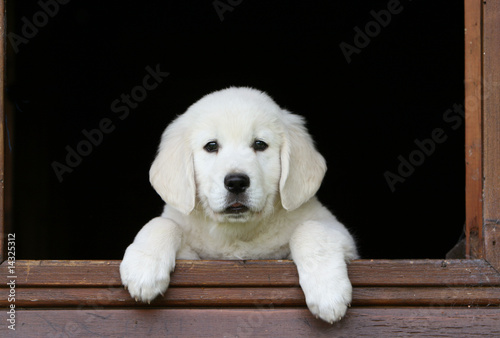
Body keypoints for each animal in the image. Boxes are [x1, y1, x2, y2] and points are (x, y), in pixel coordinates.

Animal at [119, 86, 358, 322]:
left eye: (260, 144)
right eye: (211, 146)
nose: (236, 182)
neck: (237, 232)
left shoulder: (342, 237)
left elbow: (310, 228)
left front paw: (327, 291)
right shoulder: (191, 252)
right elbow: (163, 223)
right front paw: (144, 269)